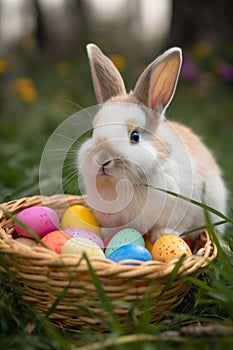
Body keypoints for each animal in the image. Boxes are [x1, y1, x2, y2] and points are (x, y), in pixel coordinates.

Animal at [77, 43, 227, 243]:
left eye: (135, 136)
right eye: (93, 132)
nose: (103, 159)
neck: (125, 184)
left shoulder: (184, 207)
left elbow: (176, 224)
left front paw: (163, 235)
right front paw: (109, 235)